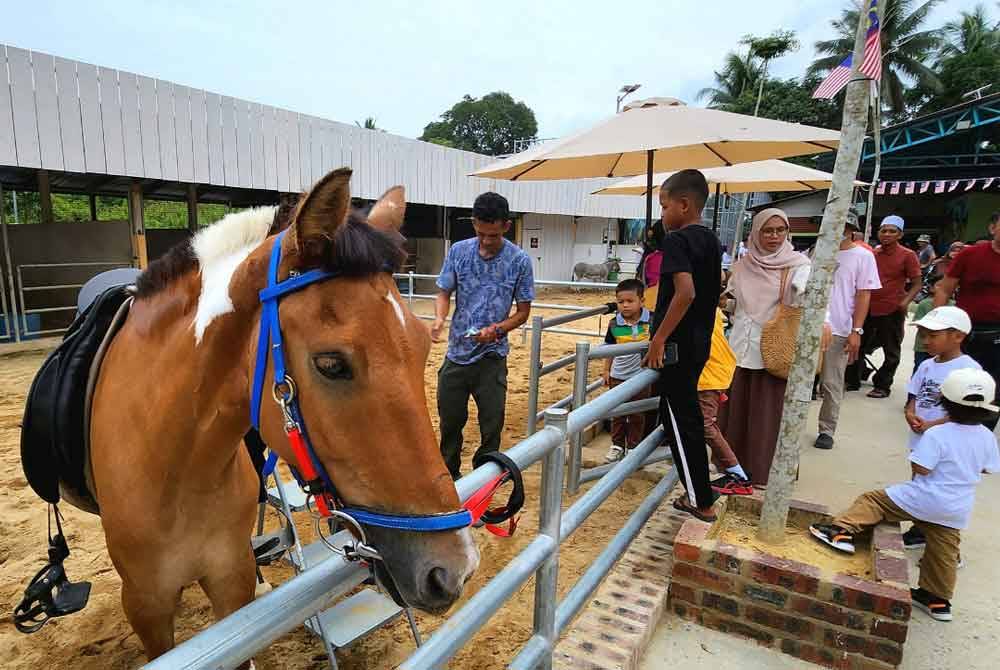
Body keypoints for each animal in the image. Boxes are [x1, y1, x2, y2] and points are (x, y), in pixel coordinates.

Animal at [87, 168, 476, 660]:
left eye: (426, 346)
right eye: (330, 364)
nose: (455, 570)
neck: (172, 464)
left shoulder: (229, 584)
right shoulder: (145, 604)